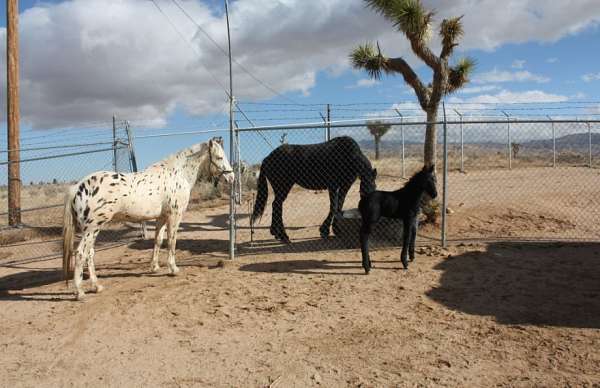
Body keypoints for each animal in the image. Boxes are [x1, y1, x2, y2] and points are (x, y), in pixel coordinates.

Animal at [62, 136, 234, 300]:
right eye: (219, 157)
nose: (231, 178)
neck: (177, 174)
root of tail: (77, 188)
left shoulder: (162, 217)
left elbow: (158, 241)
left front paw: (155, 267)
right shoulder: (175, 215)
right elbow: (172, 241)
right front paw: (173, 269)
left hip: (91, 229)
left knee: (89, 254)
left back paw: (96, 286)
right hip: (92, 228)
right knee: (81, 254)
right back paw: (80, 292)